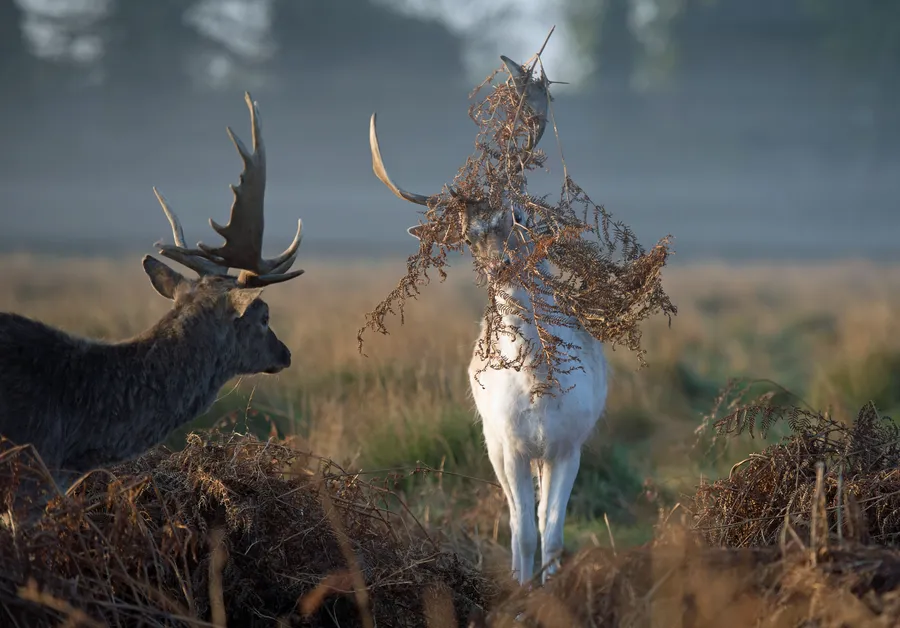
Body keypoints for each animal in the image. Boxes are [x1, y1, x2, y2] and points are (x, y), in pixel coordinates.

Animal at [367, 57, 608, 586]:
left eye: (518, 213)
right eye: (467, 236)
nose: (501, 268)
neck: (539, 385)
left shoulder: (570, 444)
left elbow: (552, 532)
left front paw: (552, 589)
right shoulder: (508, 444)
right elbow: (523, 531)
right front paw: (522, 590)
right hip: (492, 443)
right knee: (518, 521)